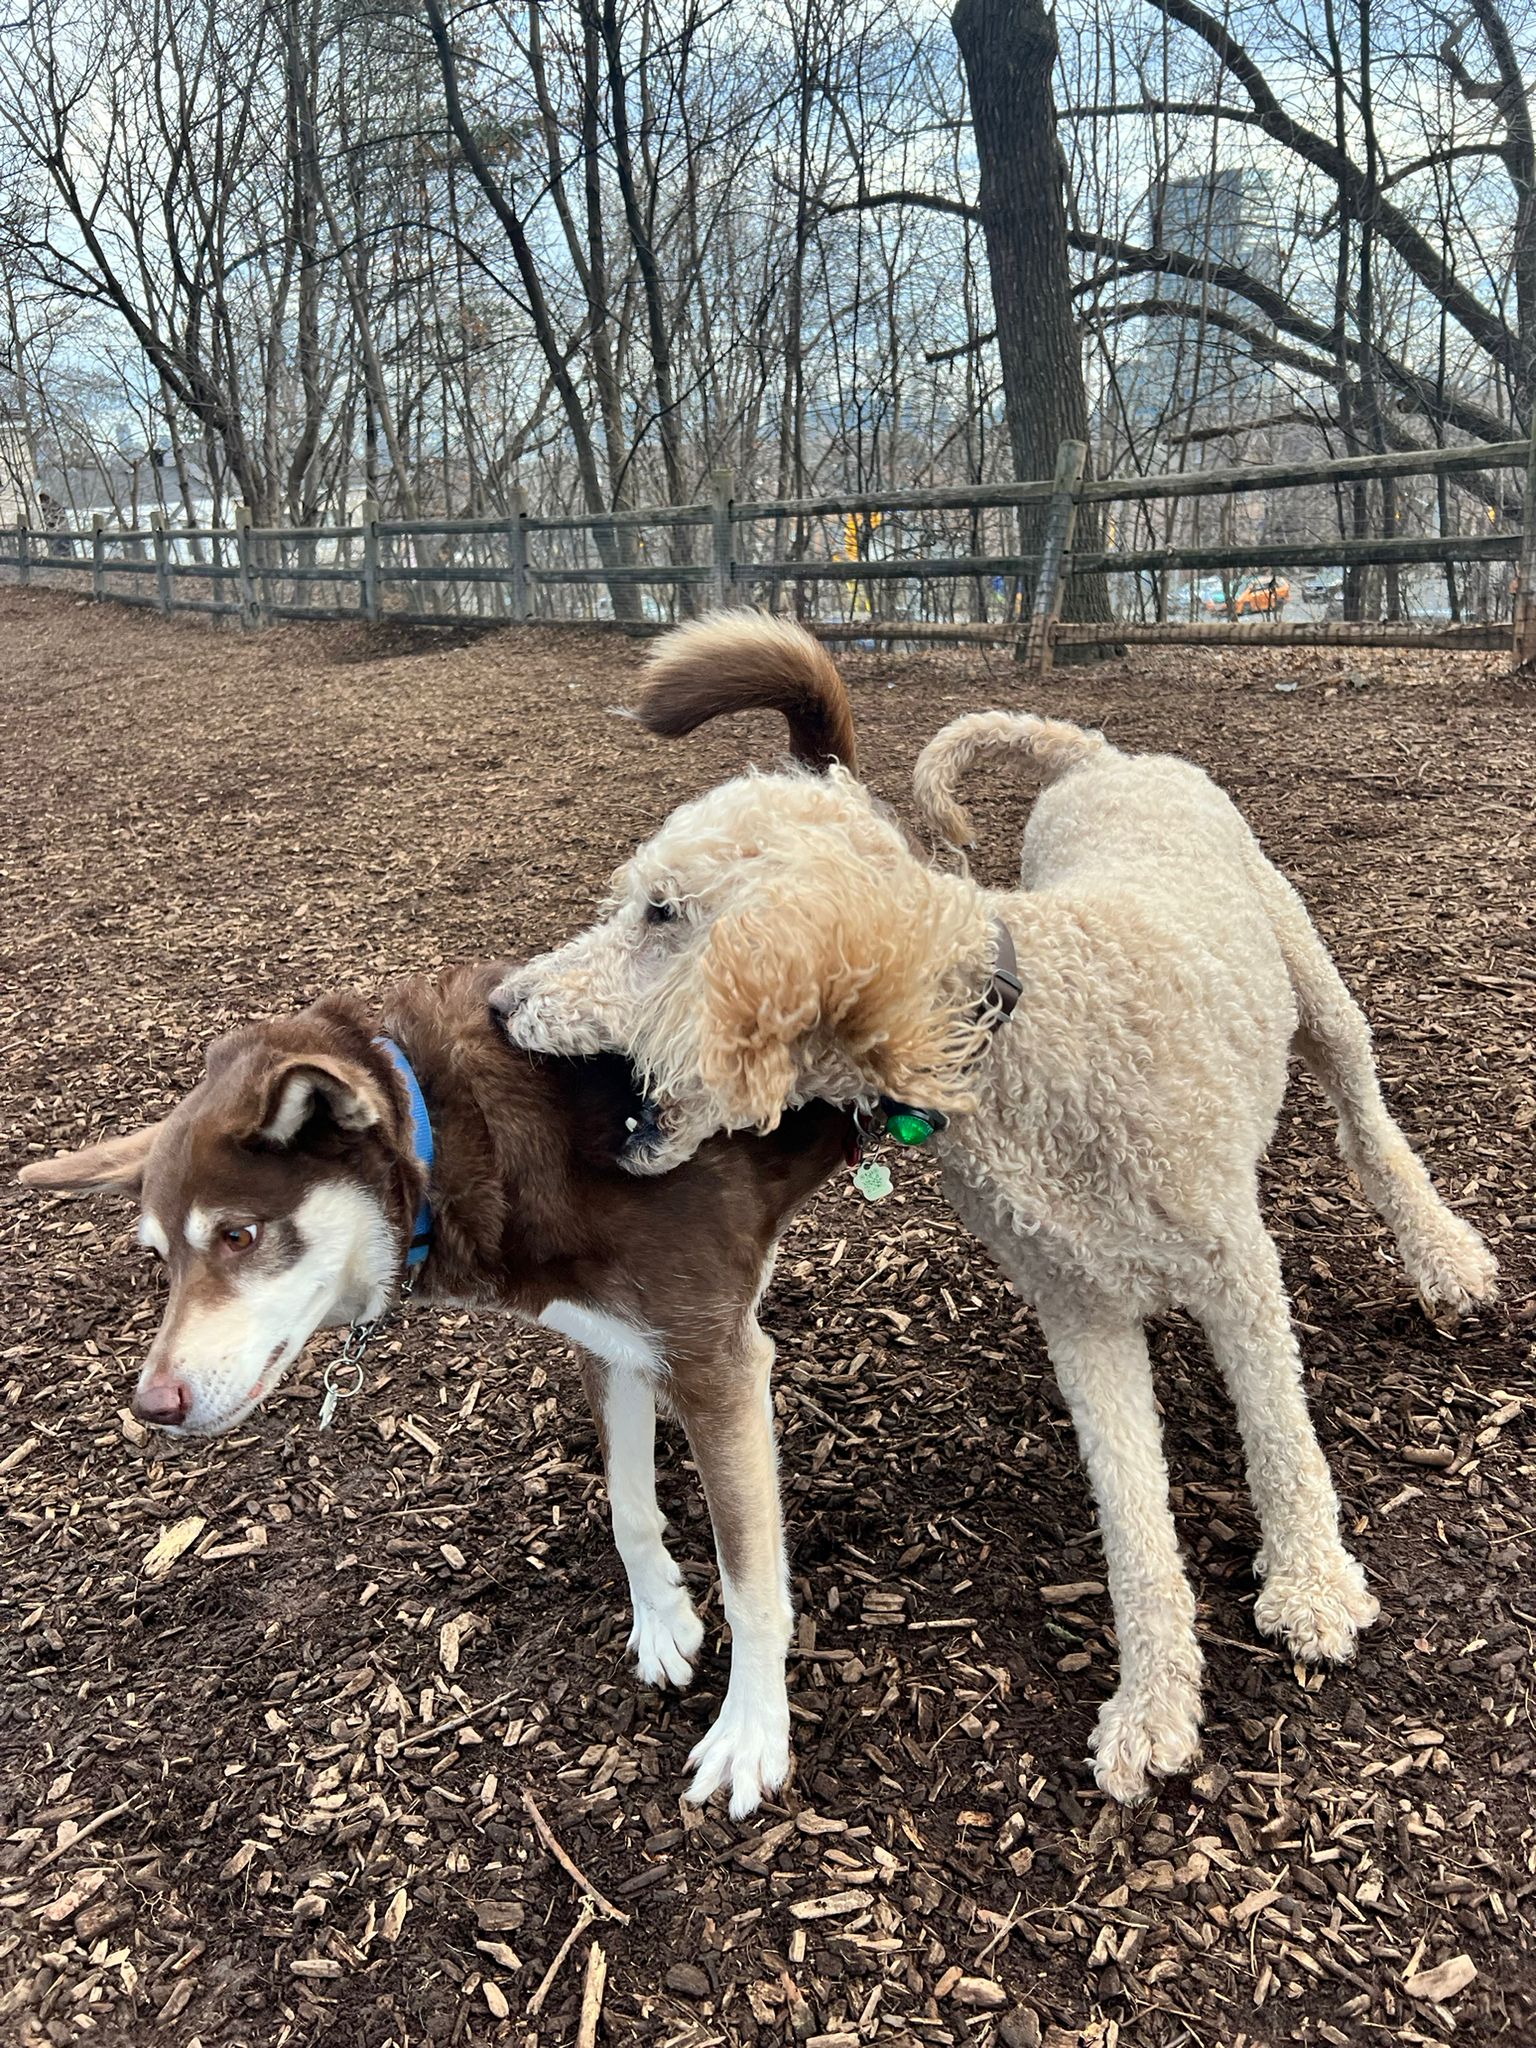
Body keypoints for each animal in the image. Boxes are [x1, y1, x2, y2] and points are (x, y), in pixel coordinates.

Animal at [19, 658, 861, 1821]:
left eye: (237, 1234)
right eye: (162, 1255)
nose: (153, 1405)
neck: (462, 1129)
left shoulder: (710, 1363)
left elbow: (754, 1579)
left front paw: (751, 1729)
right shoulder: (613, 1342)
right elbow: (629, 1506)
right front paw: (660, 1619)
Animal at [496, 611, 1499, 1800]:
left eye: (662, 913)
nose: (503, 1003)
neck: (1023, 1046)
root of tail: (1102, 758)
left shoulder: (1238, 1272)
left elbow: (1282, 1436)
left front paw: (1309, 1586)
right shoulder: (1080, 1312)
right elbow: (1132, 1513)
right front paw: (1152, 1702)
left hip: (1315, 984)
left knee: (1368, 1123)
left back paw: (1445, 1257)